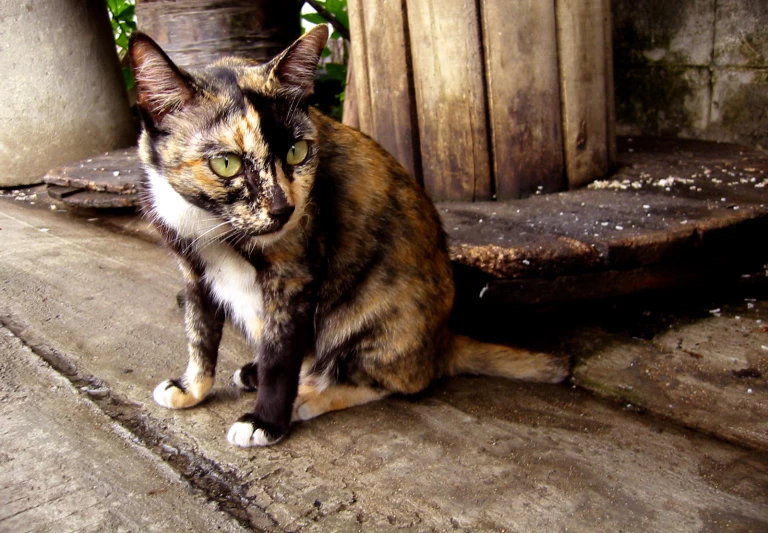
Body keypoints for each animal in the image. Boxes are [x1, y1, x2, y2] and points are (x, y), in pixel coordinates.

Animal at [129, 26, 568, 448]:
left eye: (298, 152)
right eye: (226, 163)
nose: (284, 210)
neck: (208, 224)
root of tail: (443, 342)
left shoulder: (293, 277)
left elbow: (280, 356)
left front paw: (265, 422)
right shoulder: (194, 273)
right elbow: (199, 333)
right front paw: (192, 388)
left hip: (370, 313)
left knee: (396, 381)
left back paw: (310, 395)